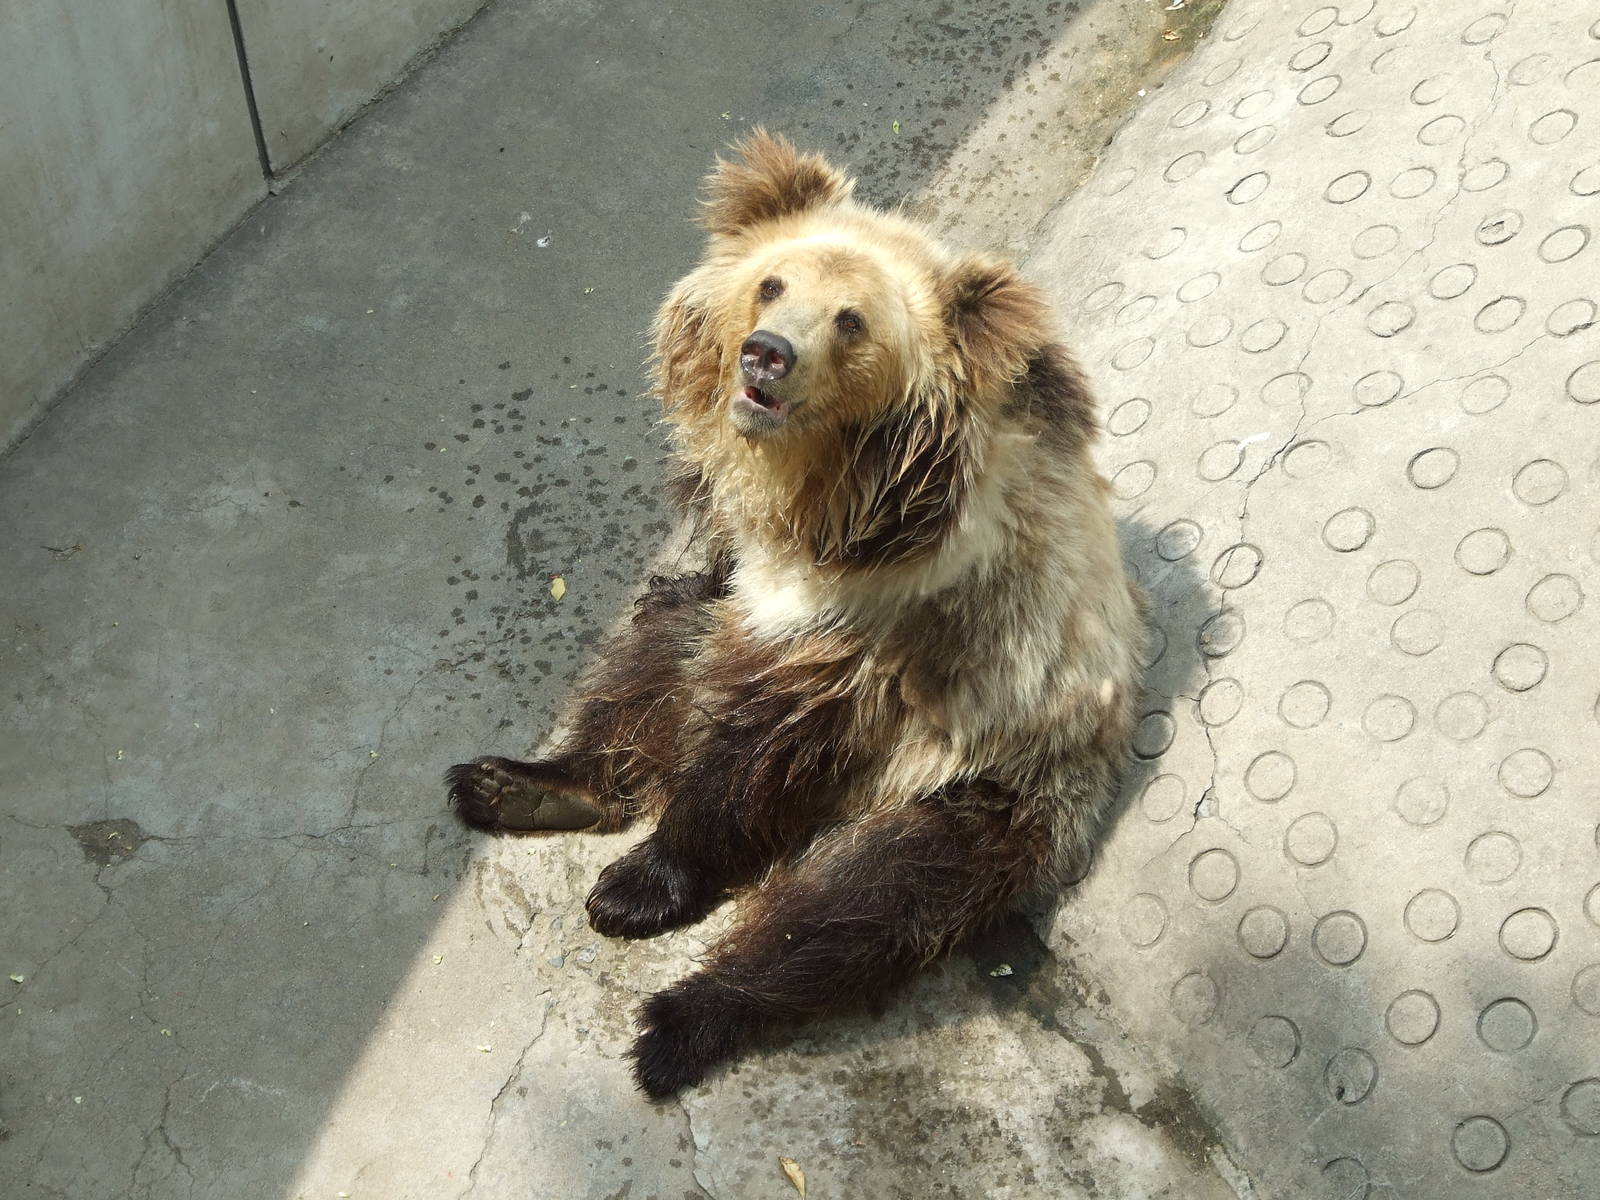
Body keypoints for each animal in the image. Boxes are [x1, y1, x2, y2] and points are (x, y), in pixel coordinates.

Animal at [445, 130, 1145, 1098]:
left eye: (851, 320)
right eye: (772, 283)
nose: (765, 354)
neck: (818, 487)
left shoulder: (883, 627)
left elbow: (763, 752)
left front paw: (640, 883)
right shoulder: (739, 558)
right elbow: (677, 626)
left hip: (990, 789)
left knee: (860, 905)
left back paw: (683, 1020)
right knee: (665, 653)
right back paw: (521, 784)